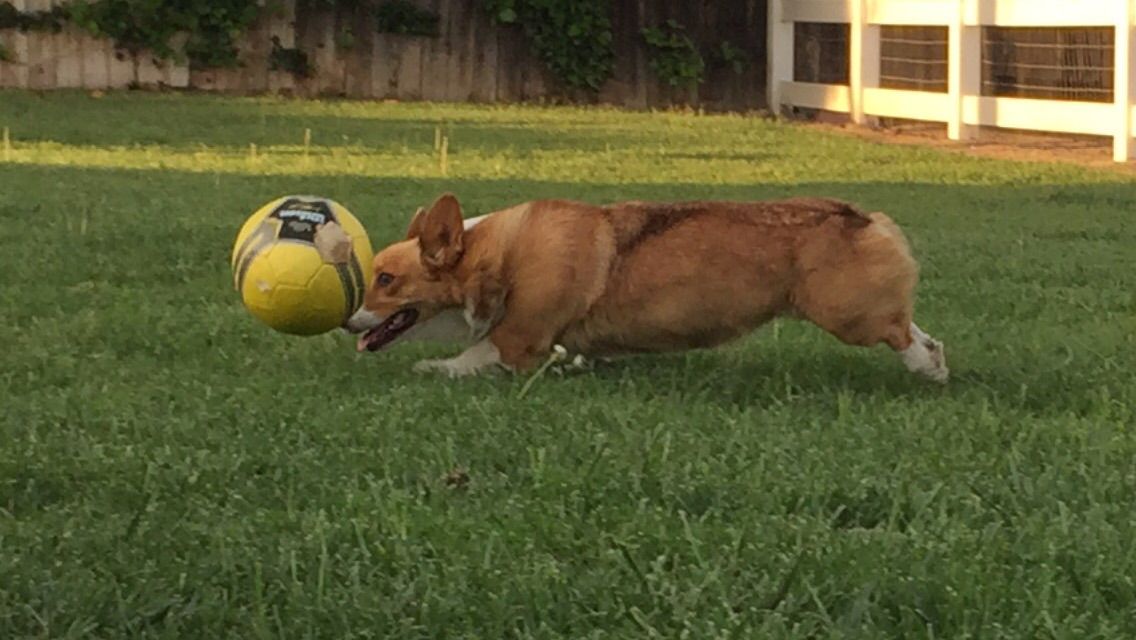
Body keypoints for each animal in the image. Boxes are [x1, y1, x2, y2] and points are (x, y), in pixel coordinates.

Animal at [345, 193, 948, 382]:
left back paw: (924, 367)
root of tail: (861, 217)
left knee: (901, 334)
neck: (493, 258)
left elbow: (472, 355)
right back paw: (935, 366)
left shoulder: (518, 338)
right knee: (920, 329)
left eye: (386, 280)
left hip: (849, 315)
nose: (348, 323)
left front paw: (435, 367)